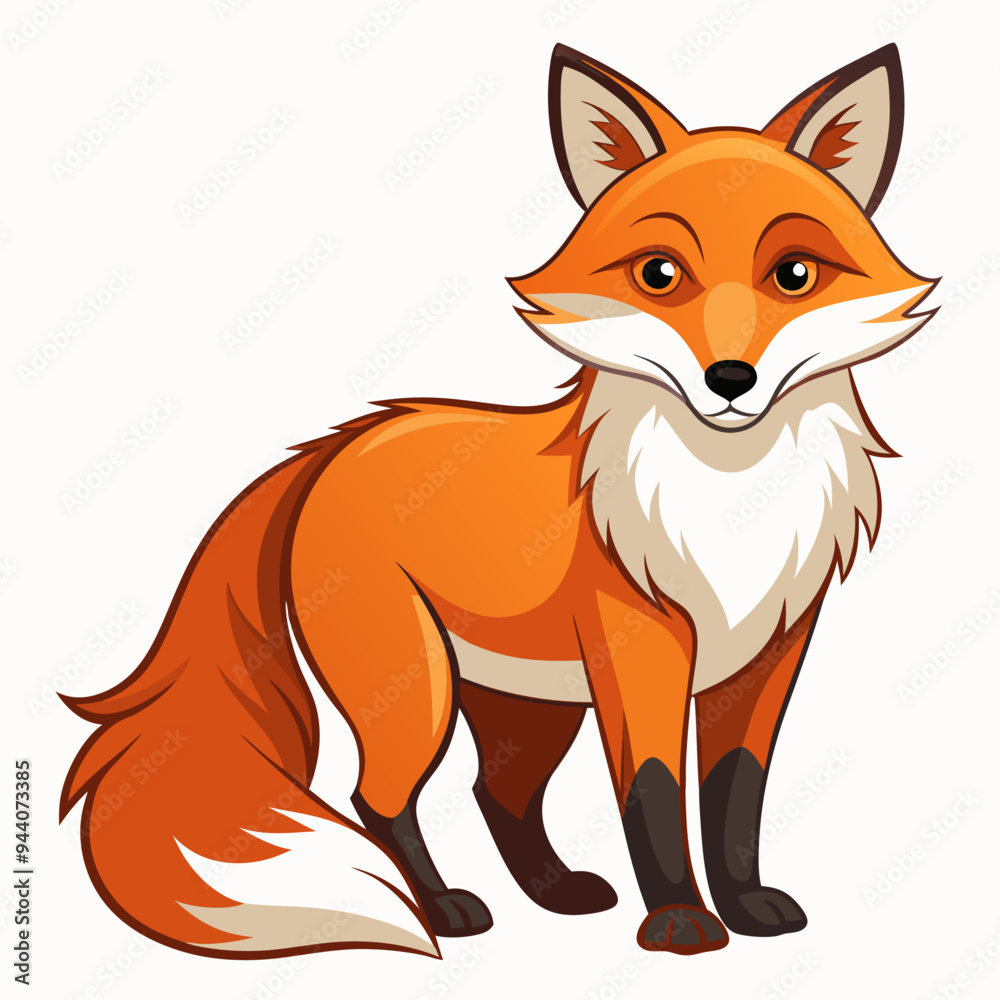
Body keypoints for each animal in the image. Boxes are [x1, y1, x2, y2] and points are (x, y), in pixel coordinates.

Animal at [61, 43, 936, 958]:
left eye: (794, 274)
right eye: (660, 274)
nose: (730, 379)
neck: (729, 505)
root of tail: (337, 446)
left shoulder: (770, 653)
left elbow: (737, 795)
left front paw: (747, 906)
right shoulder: (641, 646)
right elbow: (653, 789)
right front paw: (680, 923)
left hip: (528, 706)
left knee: (497, 791)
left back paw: (555, 893)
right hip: (415, 692)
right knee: (376, 799)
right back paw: (443, 909)